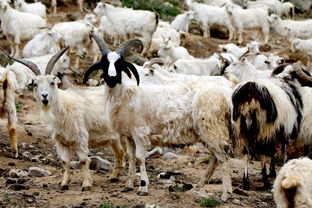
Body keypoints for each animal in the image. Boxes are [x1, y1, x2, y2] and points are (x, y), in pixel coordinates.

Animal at [8, 48, 125, 191]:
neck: (63, 106)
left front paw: (86, 184)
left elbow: (83, 160)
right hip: (115, 137)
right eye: (35, 84)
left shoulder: (81, 138)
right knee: (120, 152)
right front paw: (64, 183)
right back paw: (114, 176)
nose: (44, 96)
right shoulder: (60, 141)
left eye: (52, 83)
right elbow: (64, 161)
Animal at [83, 34, 234, 202]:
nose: (110, 78)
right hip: (208, 130)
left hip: (212, 126)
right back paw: (200, 185)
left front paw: (143, 187)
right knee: (215, 157)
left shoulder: (139, 131)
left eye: (120, 64)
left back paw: (226, 194)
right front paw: (128, 185)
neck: (126, 95)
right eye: (104, 63)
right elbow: (130, 157)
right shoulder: (129, 135)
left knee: (223, 157)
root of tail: (226, 95)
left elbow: (140, 158)